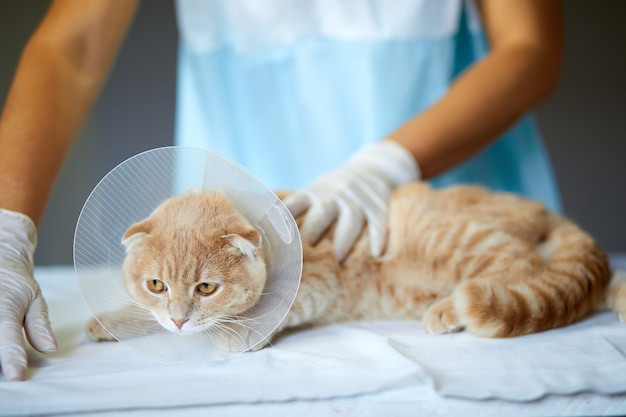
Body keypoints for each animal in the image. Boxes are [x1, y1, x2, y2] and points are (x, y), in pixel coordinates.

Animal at [86, 182, 620, 348]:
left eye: (205, 288)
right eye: (157, 285)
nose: (179, 319)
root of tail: (543, 208)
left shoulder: (317, 280)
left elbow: (265, 311)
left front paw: (237, 332)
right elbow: (142, 317)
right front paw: (110, 321)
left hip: (454, 238)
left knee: (522, 268)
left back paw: (449, 309)